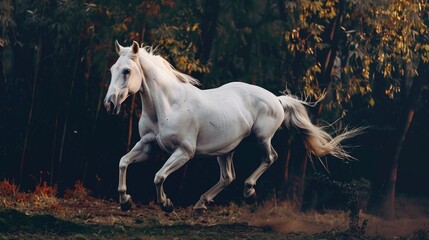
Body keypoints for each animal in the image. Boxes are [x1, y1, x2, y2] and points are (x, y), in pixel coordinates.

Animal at [105, 40, 360, 212]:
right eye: (112, 70)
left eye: (127, 71)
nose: (109, 103)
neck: (168, 105)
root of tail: (276, 99)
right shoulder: (148, 146)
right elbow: (123, 162)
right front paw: (125, 201)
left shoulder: (184, 152)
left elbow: (158, 176)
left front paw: (166, 204)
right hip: (225, 150)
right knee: (228, 176)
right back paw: (202, 203)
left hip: (261, 137)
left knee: (270, 158)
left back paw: (249, 192)